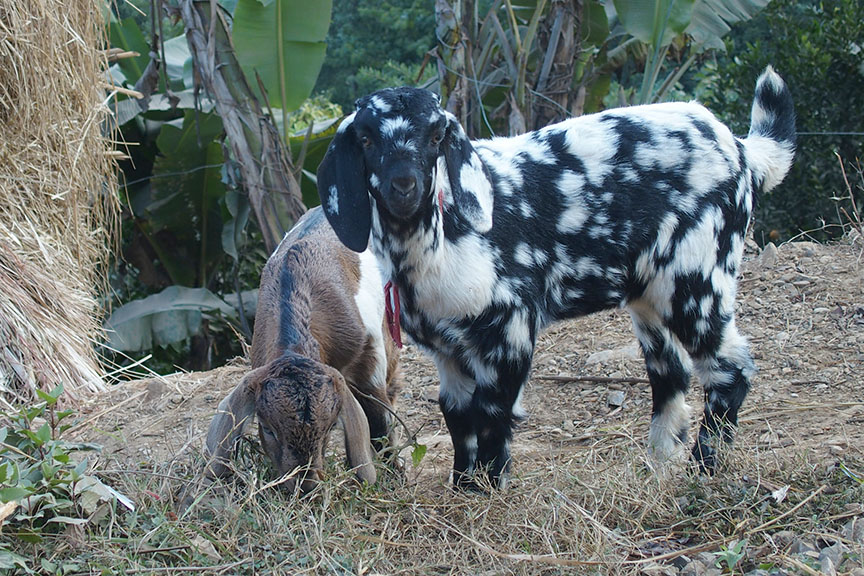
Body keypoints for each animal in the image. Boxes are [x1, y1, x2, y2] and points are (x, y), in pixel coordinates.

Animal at [205, 207, 402, 490]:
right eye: (267, 428)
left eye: (330, 428)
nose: (305, 484)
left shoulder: (369, 363)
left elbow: (379, 425)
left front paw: (396, 479)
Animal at [318, 68, 796, 490]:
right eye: (365, 138)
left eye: (436, 136)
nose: (404, 186)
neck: (440, 235)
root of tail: (741, 149)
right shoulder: (449, 350)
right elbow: (457, 417)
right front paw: (462, 489)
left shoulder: (509, 329)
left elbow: (491, 415)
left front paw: (488, 491)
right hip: (648, 296)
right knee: (671, 376)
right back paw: (656, 466)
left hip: (697, 280)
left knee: (730, 368)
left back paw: (705, 468)